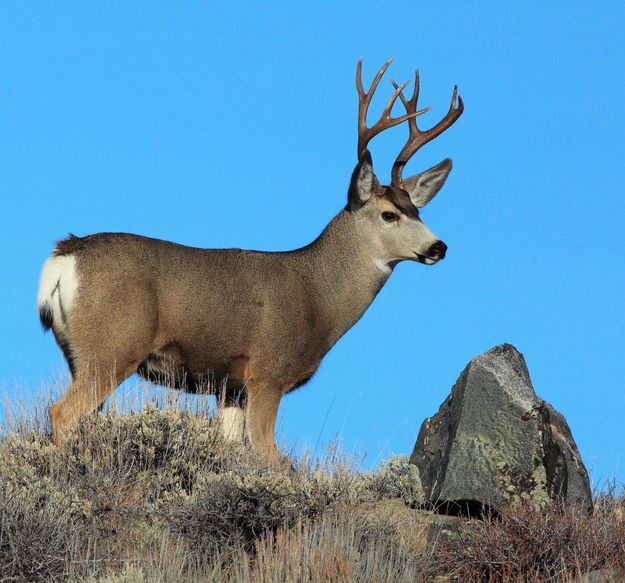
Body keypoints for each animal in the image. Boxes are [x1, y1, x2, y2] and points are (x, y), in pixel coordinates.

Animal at [36, 59, 460, 458]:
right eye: (389, 214)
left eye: (418, 211)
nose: (439, 247)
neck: (318, 298)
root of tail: (66, 254)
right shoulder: (268, 372)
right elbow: (271, 457)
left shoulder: (231, 386)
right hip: (114, 345)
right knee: (61, 411)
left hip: (78, 352)